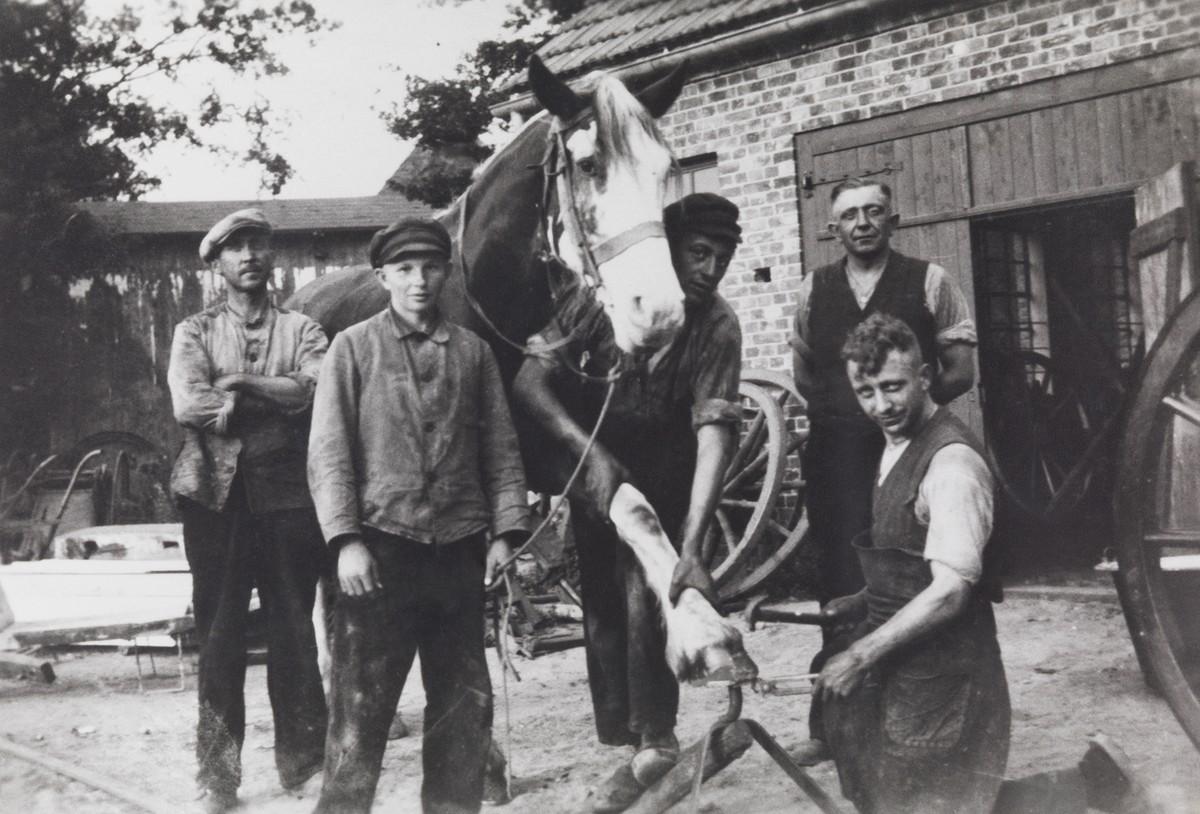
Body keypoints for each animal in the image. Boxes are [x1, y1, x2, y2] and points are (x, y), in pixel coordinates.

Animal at [288, 54, 748, 686]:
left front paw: (694, 616)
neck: (482, 303)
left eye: (665, 173)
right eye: (588, 165)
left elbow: (628, 498)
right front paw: (703, 631)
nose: (657, 313)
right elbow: (625, 495)